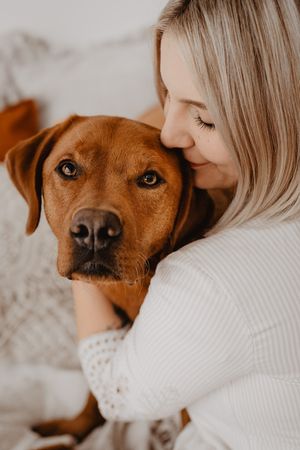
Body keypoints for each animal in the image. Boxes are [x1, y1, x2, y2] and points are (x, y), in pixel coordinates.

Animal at [5, 117, 214, 450]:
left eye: (150, 178)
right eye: (68, 168)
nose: (94, 229)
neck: (134, 287)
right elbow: (96, 391)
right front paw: (74, 429)